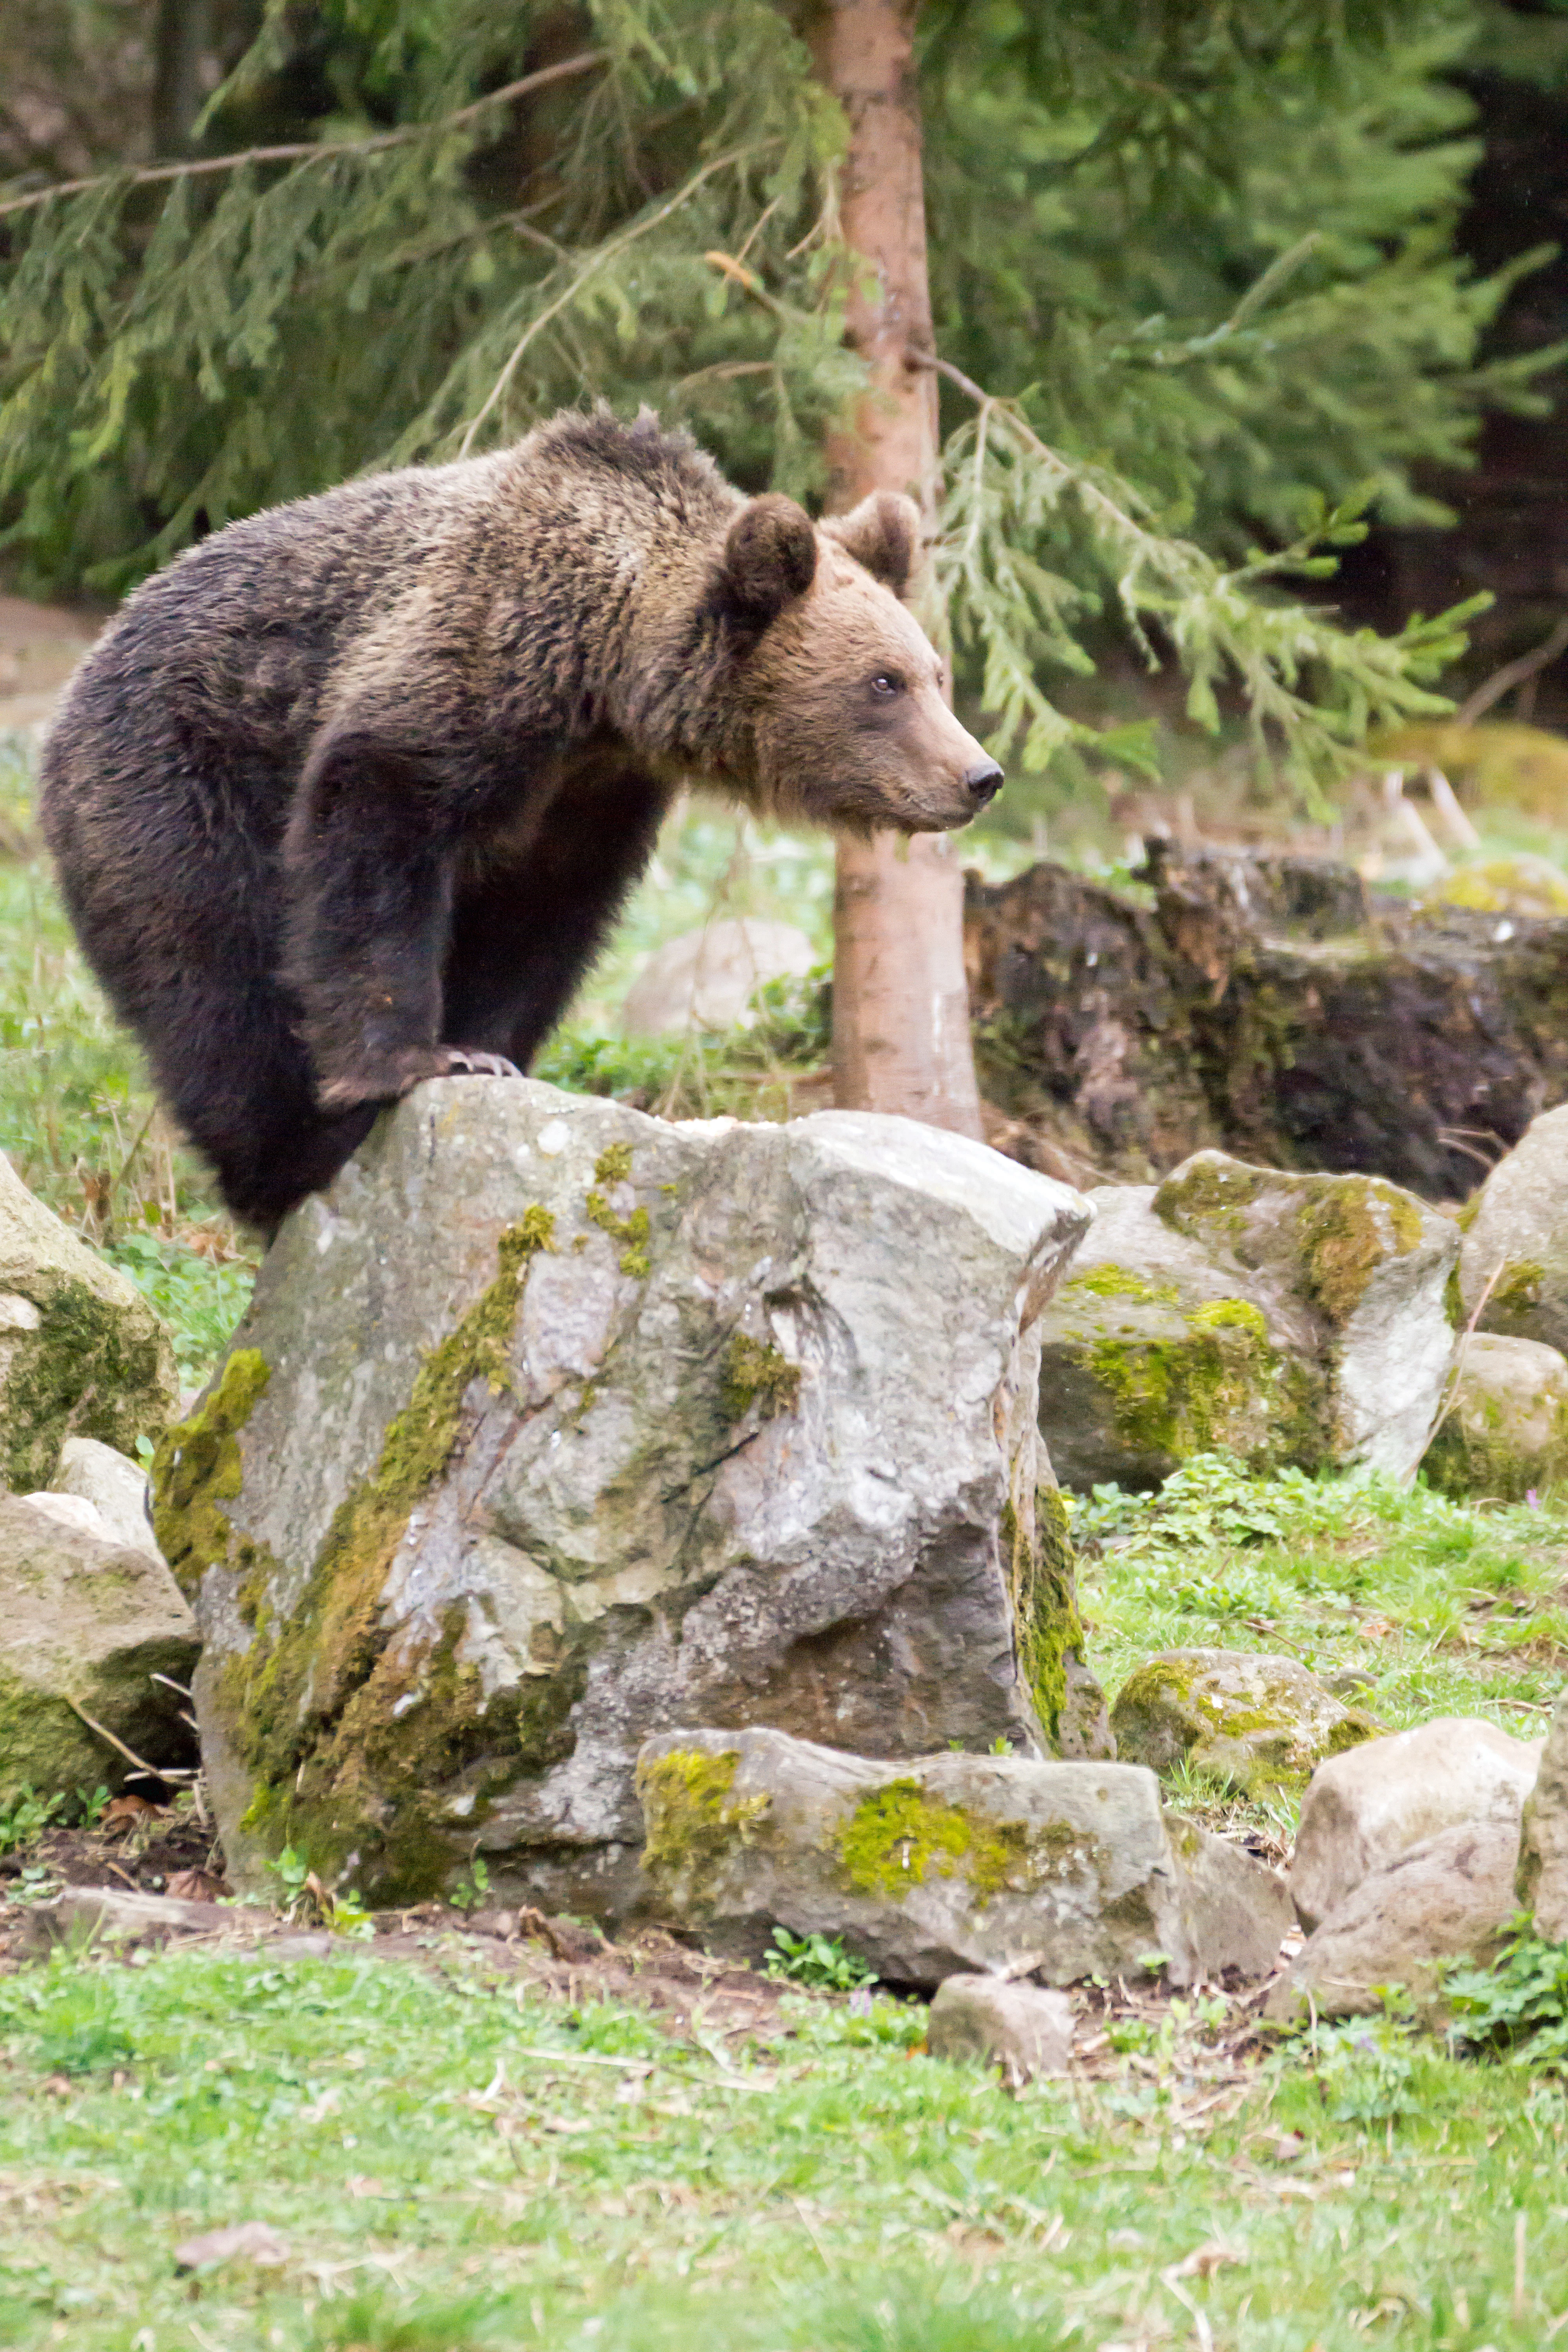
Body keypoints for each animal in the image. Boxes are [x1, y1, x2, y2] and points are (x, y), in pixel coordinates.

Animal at [41, 408, 1003, 1230]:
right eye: (882, 682)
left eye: (934, 673)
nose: (979, 776)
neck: (603, 678)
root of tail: (85, 670)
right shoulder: (464, 678)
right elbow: (373, 842)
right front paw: (412, 1061)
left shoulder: (588, 800)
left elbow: (537, 925)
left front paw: (492, 1052)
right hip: (176, 790)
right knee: (221, 993)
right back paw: (290, 1158)